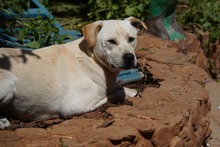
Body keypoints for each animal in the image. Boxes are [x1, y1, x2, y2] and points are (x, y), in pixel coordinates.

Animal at [0, 16, 148, 129]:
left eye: (131, 39)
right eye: (111, 41)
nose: (129, 57)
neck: (92, 58)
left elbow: (119, 88)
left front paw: (131, 91)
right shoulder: (75, 106)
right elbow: (112, 94)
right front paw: (124, 93)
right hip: (9, 81)